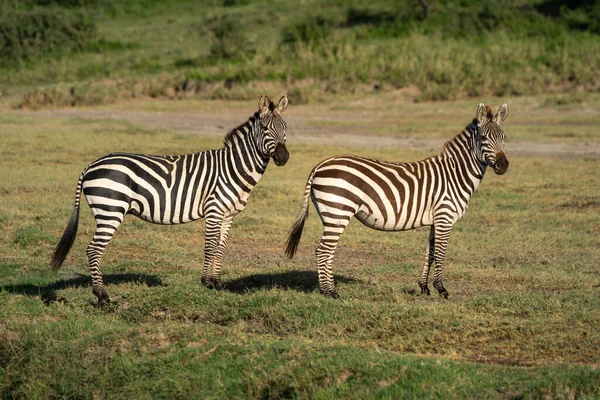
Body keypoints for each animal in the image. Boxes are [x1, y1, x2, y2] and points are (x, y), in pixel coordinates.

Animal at [50, 94, 290, 306]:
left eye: (285, 129)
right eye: (265, 129)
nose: (283, 157)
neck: (233, 168)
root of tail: (91, 165)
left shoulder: (228, 215)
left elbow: (221, 248)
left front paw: (218, 284)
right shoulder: (214, 210)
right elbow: (210, 246)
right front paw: (206, 282)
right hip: (110, 211)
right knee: (93, 250)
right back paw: (102, 297)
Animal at [284, 101, 508, 298]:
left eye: (504, 137)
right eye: (484, 137)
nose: (504, 165)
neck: (455, 174)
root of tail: (319, 165)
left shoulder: (436, 220)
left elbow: (430, 253)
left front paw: (424, 287)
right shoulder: (445, 216)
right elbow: (441, 253)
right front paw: (441, 289)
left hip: (331, 214)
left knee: (325, 251)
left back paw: (327, 289)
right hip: (338, 212)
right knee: (323, 251)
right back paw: (330, 292)